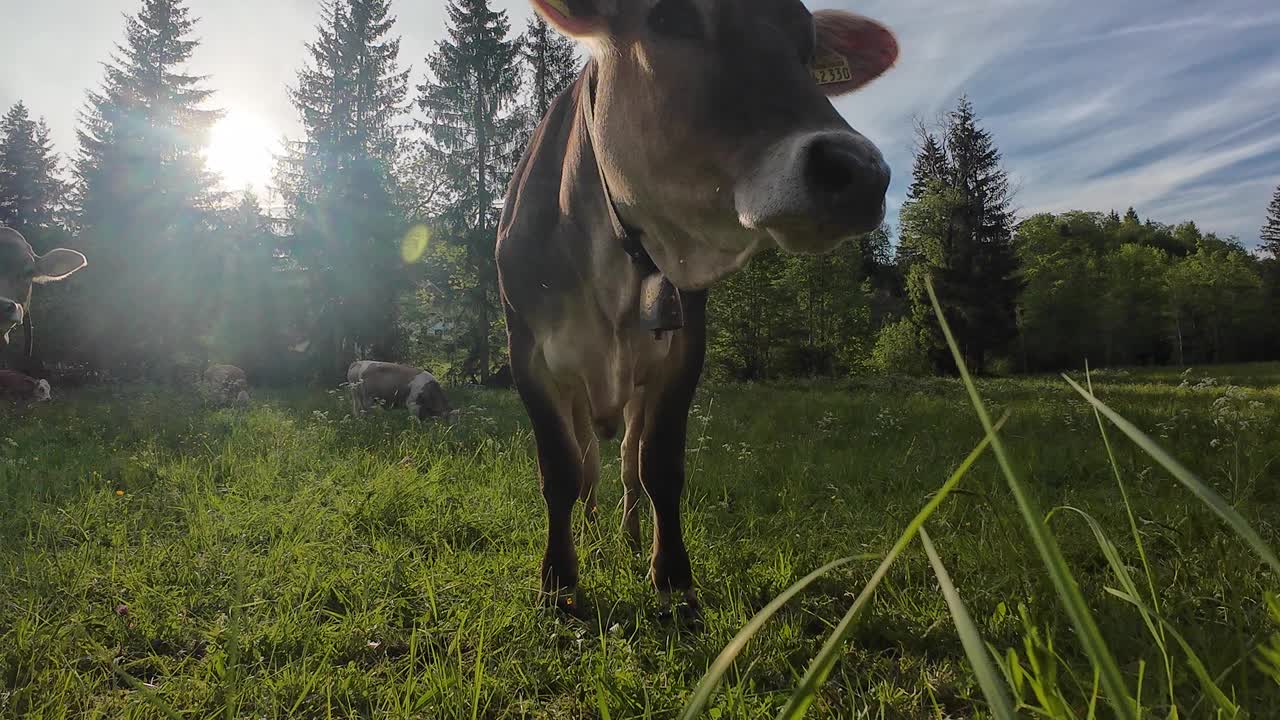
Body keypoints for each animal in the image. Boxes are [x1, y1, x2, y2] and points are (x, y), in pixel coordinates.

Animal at [494, 0, 896, 609]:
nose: (859, 170)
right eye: (671, 15)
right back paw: (592, 532)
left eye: (807, 48)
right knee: (590, 463)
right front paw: (560, 582)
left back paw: (629, 539)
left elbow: (659, 465)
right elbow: (562, 470)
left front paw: (672, 580)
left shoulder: (684, 349)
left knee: (625, 461)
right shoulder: (528, 353)